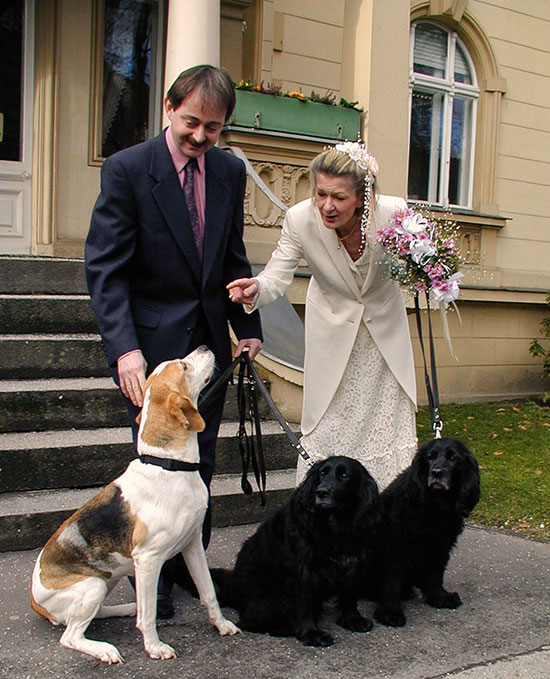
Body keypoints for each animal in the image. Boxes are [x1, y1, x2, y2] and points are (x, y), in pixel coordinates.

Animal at [213, 456, 382, 648]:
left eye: (345, 475)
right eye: (322, 473)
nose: (321, 492)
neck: (335, 527)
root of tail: (232, 588)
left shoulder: (353, 564)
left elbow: (349, 595)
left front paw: (352, 619)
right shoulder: (301, 570)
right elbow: (303, 603)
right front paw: (311, 633)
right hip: (267, 595)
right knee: (250, 621)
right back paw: (283, 628)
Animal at [368, 440, 480, 628]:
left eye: (453, 458)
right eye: (430, 457)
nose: (436, 472)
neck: (435, 507)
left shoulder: (441, 546)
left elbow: (436, 575)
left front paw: (439, 598)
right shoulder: (395, 546)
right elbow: (392, 581)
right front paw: (391, 612)